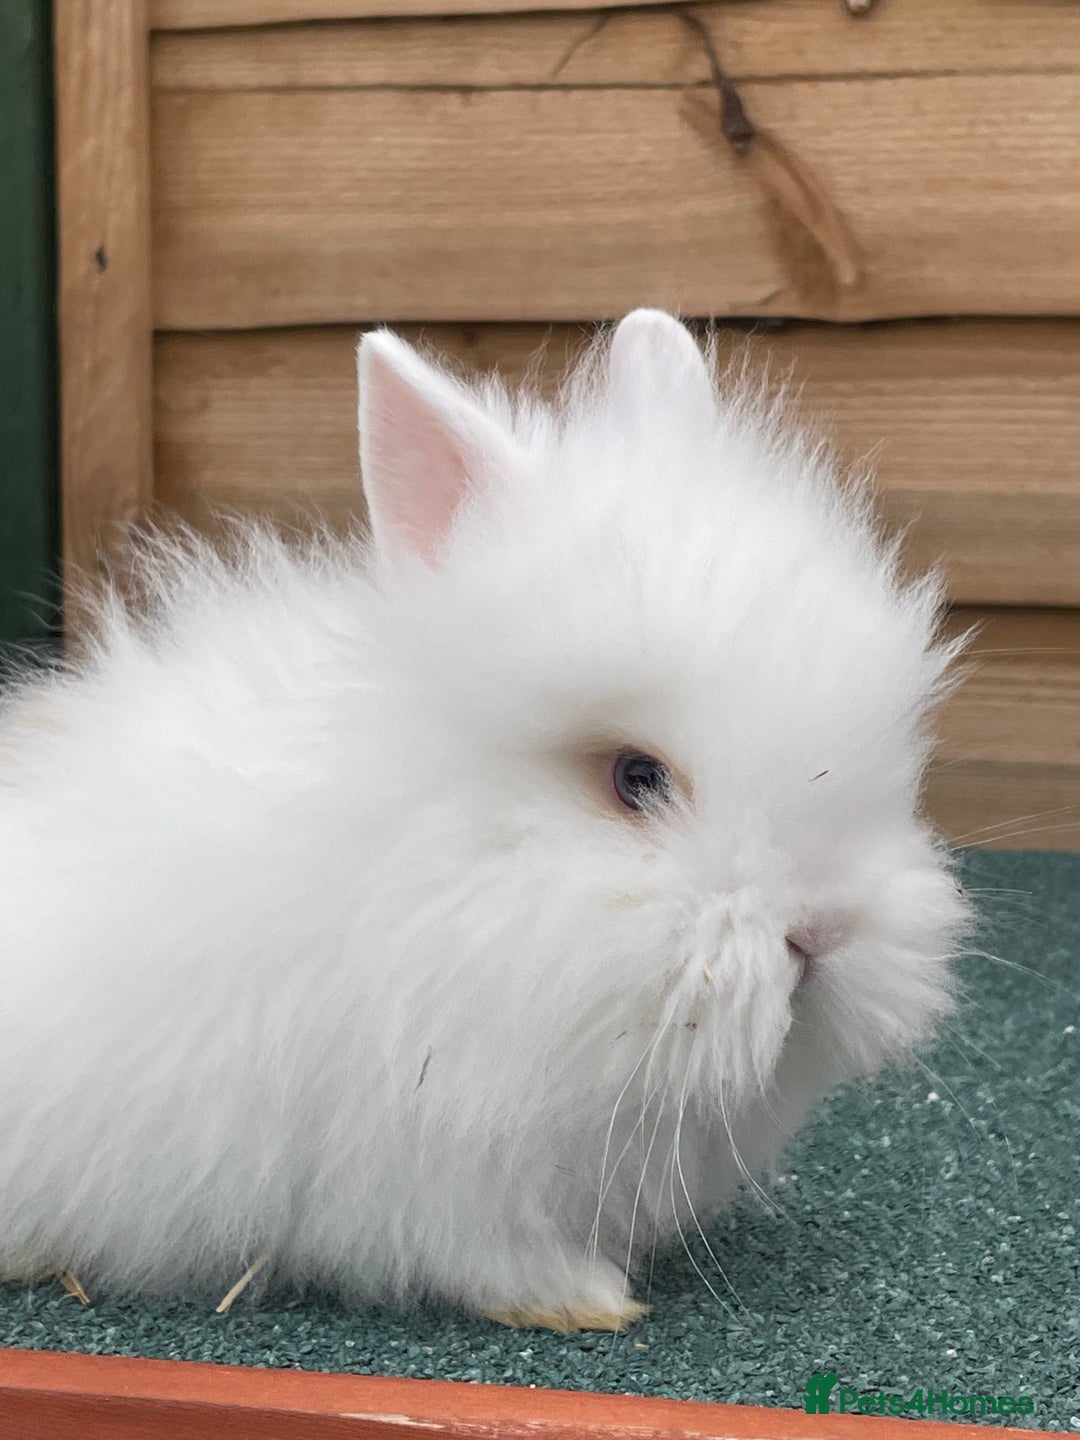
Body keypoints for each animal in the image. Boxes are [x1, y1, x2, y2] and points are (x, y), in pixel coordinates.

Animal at [0, 310, 969, 1332]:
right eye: (636, 778)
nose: (823, 931)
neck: (470, 865)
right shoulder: (429, 1165)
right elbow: (486, 1254)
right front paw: (588, 1301)